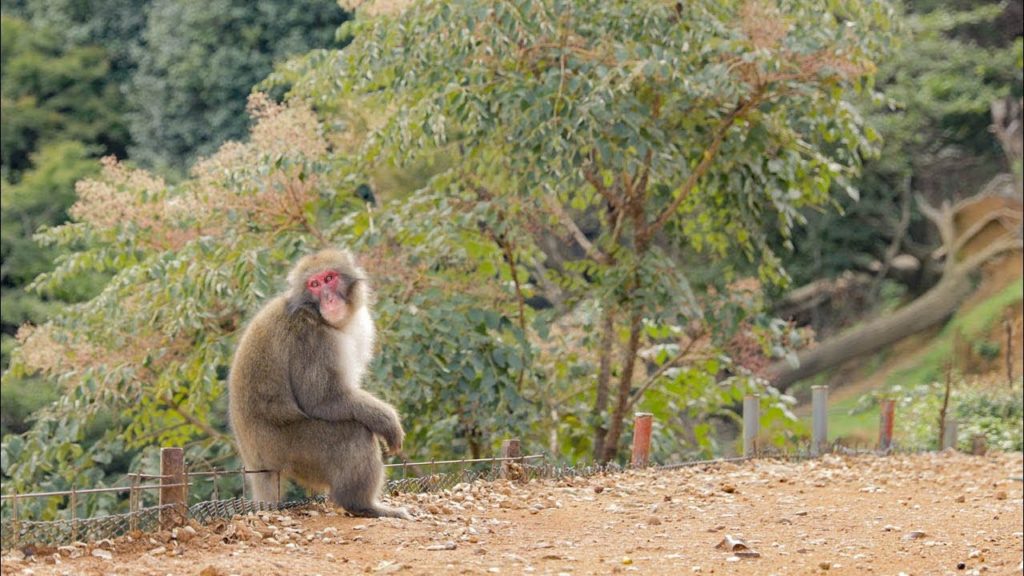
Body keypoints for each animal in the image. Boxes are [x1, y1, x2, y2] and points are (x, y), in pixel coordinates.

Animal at [228, 248, 410, 519]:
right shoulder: (311, 338)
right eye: (313, 285)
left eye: (329, 278)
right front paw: (386, 420)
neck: (317, 315)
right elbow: (323, 400)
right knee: (354, 434)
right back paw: (361, 505)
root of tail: (257, 464)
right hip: (294, 452)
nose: (328, 299)